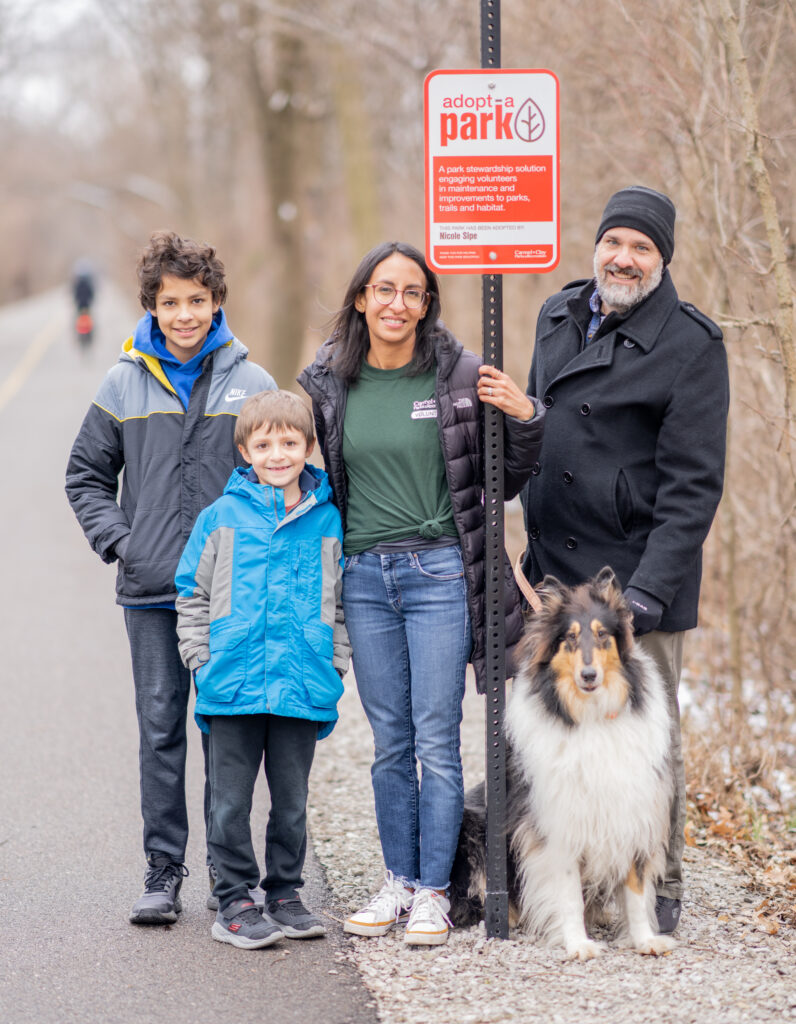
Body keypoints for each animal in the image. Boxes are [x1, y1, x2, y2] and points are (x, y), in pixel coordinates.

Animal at [450, 569, 672, 958]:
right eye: (569, 638)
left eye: (602, 635)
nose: (588, 676)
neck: (591, 717)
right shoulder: (558, 822)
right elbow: (567, 893)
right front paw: (577, 943)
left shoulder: (631, 811)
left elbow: (635, 889)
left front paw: (644, 939)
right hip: (472, 828)